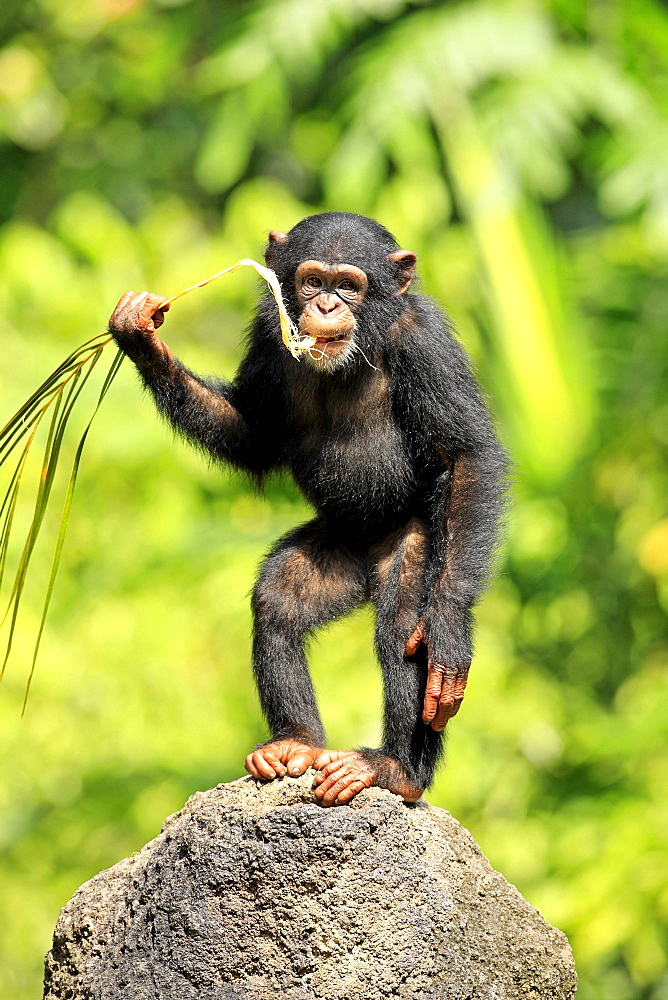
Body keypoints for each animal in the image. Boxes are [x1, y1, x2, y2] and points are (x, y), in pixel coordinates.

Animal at [109, 211, 506, 804]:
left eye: (349, 286)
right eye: (313, 281)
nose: (326, 306)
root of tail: (366, 562)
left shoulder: (425, 341)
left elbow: (466, 457)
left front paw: (451, 631)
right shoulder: (266, 330)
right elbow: (253, 431)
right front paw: (142, 334)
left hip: (420, 540)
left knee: (403, 625)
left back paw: (395, 770)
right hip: (334, 551)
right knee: (278, 602)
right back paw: (295, 743)